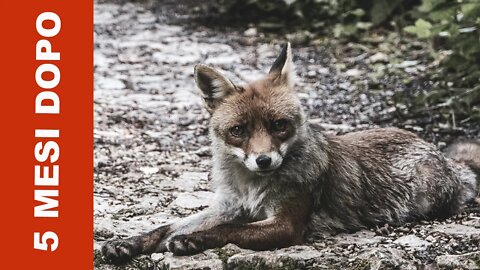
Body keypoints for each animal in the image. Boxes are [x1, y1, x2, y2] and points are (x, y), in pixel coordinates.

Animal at [99, 43, 478, 264]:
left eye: (279, 125)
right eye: (238, 131)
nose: (264, 160)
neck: (250, 187)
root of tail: (444, 157)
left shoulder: (286, 224)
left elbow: (229, 231)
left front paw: (191, 241)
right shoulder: (227, 206)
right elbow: (166, 226)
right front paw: (128, 243)